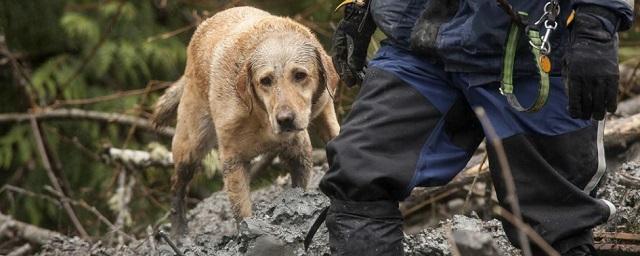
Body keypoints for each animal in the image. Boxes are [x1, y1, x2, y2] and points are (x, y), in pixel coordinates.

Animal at [151, 6, 340, 237]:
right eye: (265, 80)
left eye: (300, 75)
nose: (285, 120)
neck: (261, 117)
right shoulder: (233, 160)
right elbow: (242, 210)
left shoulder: (300, 147)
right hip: (191, 143)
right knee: (178, 184)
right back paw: (178, 231)